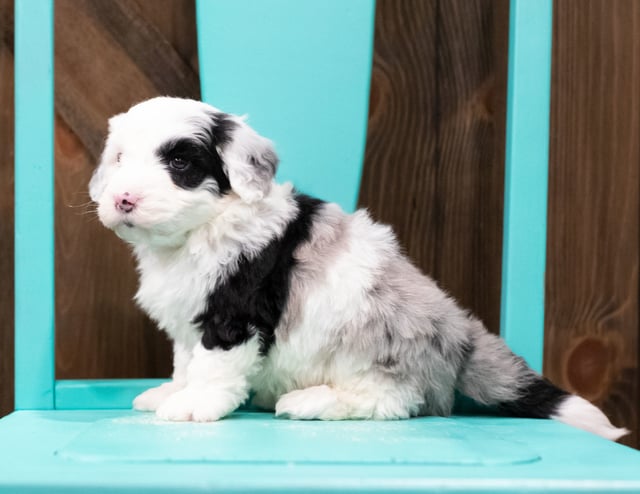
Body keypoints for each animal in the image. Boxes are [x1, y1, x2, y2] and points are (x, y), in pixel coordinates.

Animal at [90, 96, 624, 440]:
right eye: (119, 159)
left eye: (180, 163)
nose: (123, 198)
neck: (201, 229)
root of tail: (460, 335)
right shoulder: (190, 320)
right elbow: (187, 363)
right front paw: (172, 392)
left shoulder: (235, 314)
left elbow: (214, 367)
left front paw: (195, 405)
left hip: (374, 353)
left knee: (395, 401)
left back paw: (310, 402)